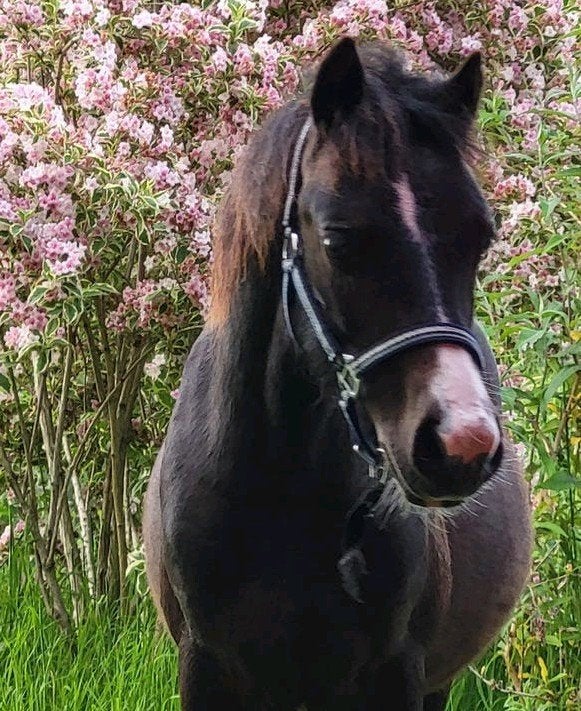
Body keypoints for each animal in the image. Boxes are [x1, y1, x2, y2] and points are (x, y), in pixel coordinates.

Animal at [144, 39, 532, 710]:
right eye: (338, 240)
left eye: (480, 239)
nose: (461, 445)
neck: (277, 491)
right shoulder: (206, 668)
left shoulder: (396, 676)